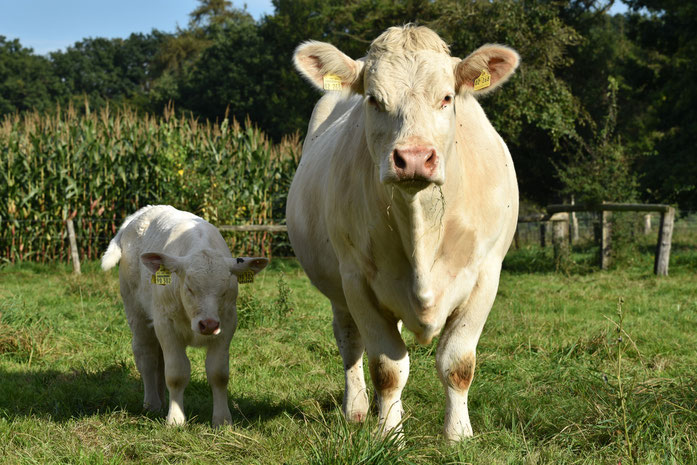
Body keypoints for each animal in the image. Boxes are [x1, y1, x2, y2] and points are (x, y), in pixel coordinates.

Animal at [99, 205, 268, 426]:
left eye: (225, 290)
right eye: (189, 288)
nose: (208, 324)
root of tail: (137, 215)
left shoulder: (227, 324)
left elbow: (218, 374)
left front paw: (222, 420)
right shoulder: (166, 324)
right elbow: (176, 373)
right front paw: (175, 419)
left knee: (158, 359)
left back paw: (162, 400)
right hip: (137, 313)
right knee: (146, 356)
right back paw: (152, 403)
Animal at [286, 25, 520, 438]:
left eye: (446, 97)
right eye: (374, 99)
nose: (413, 158)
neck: (420, 226)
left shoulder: (486, 274)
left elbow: (457, 363)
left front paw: (458, 434)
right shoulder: (356, 279)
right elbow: (388, 368)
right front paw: (388, 435)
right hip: (338, 287)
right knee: (350, 343)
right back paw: (357, 409)